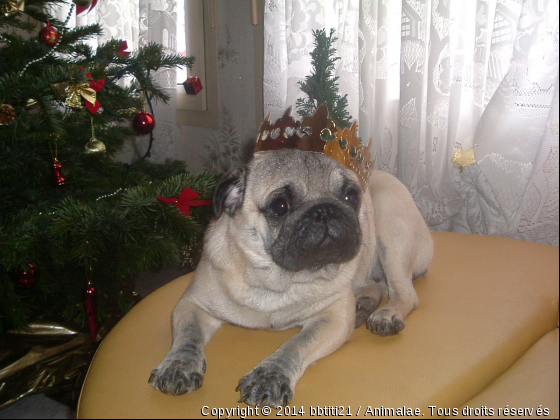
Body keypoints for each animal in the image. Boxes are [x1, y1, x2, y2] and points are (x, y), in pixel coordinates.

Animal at [149, 148, 434, 406]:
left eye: (351, 197)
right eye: (280, 206)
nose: (325, 210)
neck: (277, 279)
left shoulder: (333, 317)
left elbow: (296, 344)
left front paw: (270, 378)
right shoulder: (192, 305)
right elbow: (188, 337)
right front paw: (178, 366)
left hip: (391, 230)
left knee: (404, 293)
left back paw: (386, 314)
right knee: (379, 286)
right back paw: (364, 303)